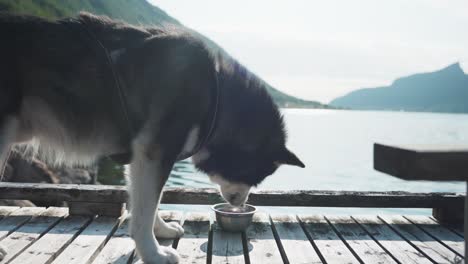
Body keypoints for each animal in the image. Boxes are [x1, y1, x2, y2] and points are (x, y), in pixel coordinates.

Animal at [0, 11, 306, 262]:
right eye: (255, 177)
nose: (239, 204)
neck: (216, 96)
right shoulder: (155, 152)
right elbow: (146, 209)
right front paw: (153, 253)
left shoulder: (142, 155)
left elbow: (149, 203)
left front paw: (162, 230)